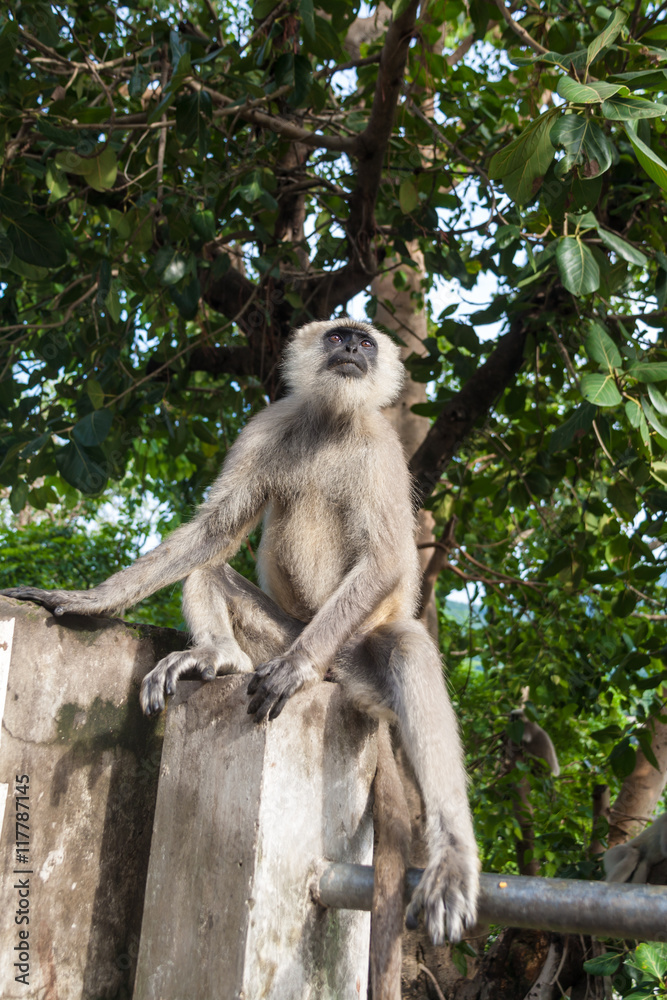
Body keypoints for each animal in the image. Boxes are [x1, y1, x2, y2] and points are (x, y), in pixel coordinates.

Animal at [2, 318, 479, 946]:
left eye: (366, 343)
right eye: (338, 338)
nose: (352, 350)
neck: (332, 422)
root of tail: (336, 670)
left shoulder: (382, 448)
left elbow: (386, 563)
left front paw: (294, 669)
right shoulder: (268, 426)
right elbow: (215, 531)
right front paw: (86, 600)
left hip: (349, 650)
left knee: (404, 646)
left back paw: (451, 859)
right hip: (289, 633)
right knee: (209, 566)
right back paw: (219, 657)